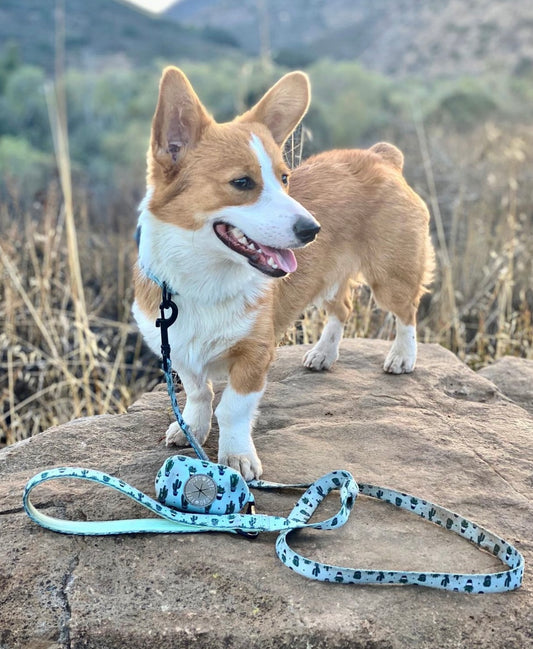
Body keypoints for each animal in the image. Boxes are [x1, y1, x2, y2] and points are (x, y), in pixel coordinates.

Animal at [132, 67, 432, 480]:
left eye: (285, 178)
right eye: (242, 182)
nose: (313, 229)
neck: (205, 277)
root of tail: (382, 158)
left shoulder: (255, 355)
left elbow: (233, 409)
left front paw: (237, 457)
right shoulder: (177, 347)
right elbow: (198, 392)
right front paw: (191, 428)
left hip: (390, 277)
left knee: (406, 313)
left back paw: (402, 357)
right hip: (327, 280)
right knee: (343, 309)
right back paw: (323, 353)